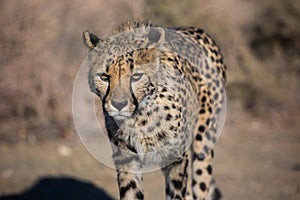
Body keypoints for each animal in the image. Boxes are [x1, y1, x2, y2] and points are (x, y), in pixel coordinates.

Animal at [82, 20, 225, 200]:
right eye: (104, 77)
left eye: (136, 76)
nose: (118, 104)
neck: (140, 117)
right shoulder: (127, 160)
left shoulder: (177, 159)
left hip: (204, 142)